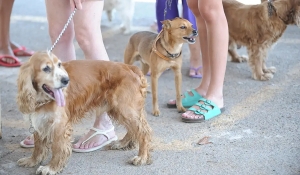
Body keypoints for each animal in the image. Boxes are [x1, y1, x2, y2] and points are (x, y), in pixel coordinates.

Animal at [16, 51, 152, 175]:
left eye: (59, 64)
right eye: (46, 68)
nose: (66, 80)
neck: (42, 99)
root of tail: (131, 68)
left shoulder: (60, 125)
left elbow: (58, 148)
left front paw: (51, 168)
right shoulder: (39, 121)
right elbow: (38, 146)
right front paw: (32, 161)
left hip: (124, 108)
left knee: (143, 131)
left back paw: (142, 157)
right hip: (119, 109)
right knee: (134, 129)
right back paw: (122, 143)